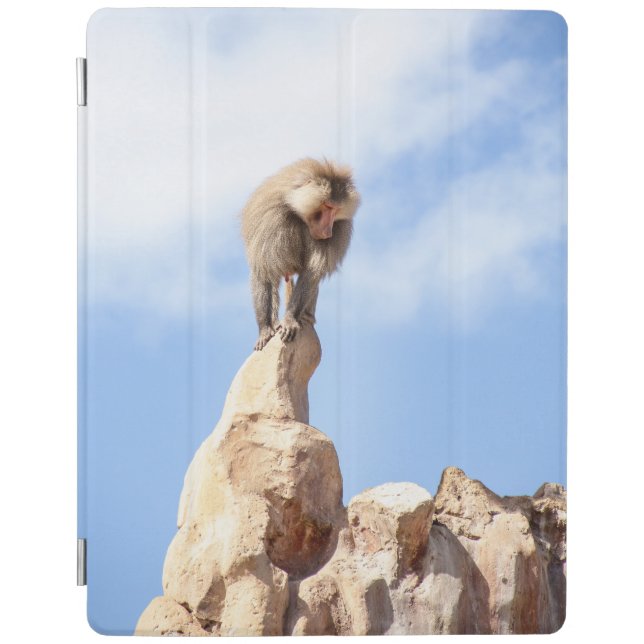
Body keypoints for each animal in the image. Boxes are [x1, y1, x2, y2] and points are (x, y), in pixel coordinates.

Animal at [241, 158, 360, 350]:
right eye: (327, 206)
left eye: (336, 210)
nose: (328, 232)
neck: (297, 211)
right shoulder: (271, 220)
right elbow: (263, 271)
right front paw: (265, 330)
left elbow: (312, 273)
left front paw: (290, 320)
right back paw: (275, 324)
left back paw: (306, 318)